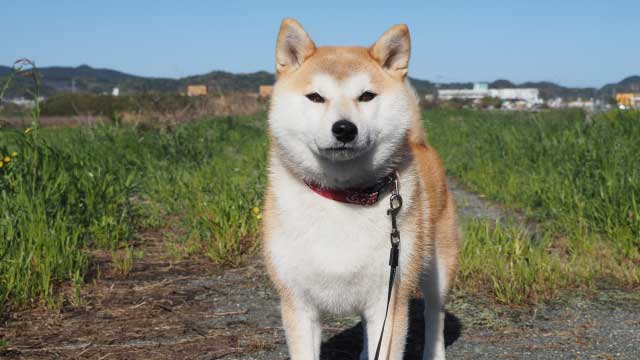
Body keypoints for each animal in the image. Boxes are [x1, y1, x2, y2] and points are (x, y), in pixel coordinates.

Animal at [262, 18, 460, 358]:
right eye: (315, 97)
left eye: (367, 96)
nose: (344, 128)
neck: (343, 196)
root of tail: (420, 143)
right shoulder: (298, 304)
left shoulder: (390, 301)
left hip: (436, 270)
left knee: (434, 314)